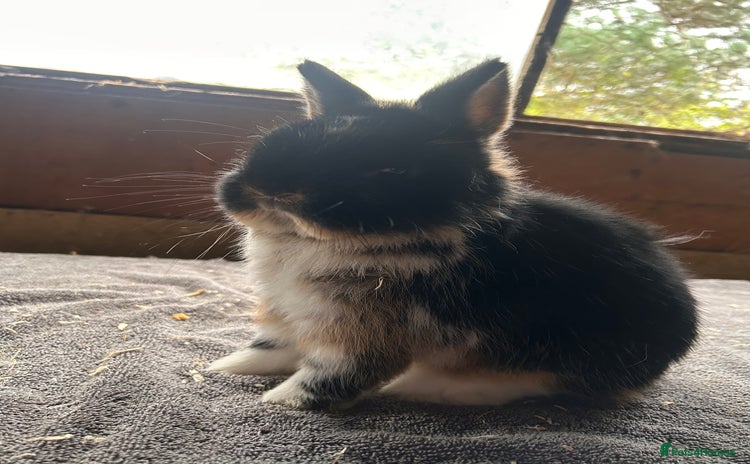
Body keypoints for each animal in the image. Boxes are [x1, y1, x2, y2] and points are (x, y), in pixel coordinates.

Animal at [207, 59, 698, 410]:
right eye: (274, 140)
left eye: (392, 170)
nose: (271, 191)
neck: (309, 243)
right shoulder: (286, 316)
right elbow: (268, 348)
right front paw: (222, 369)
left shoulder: (363, 337)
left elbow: (329, 377)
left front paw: (276, 401)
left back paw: (428, 388)